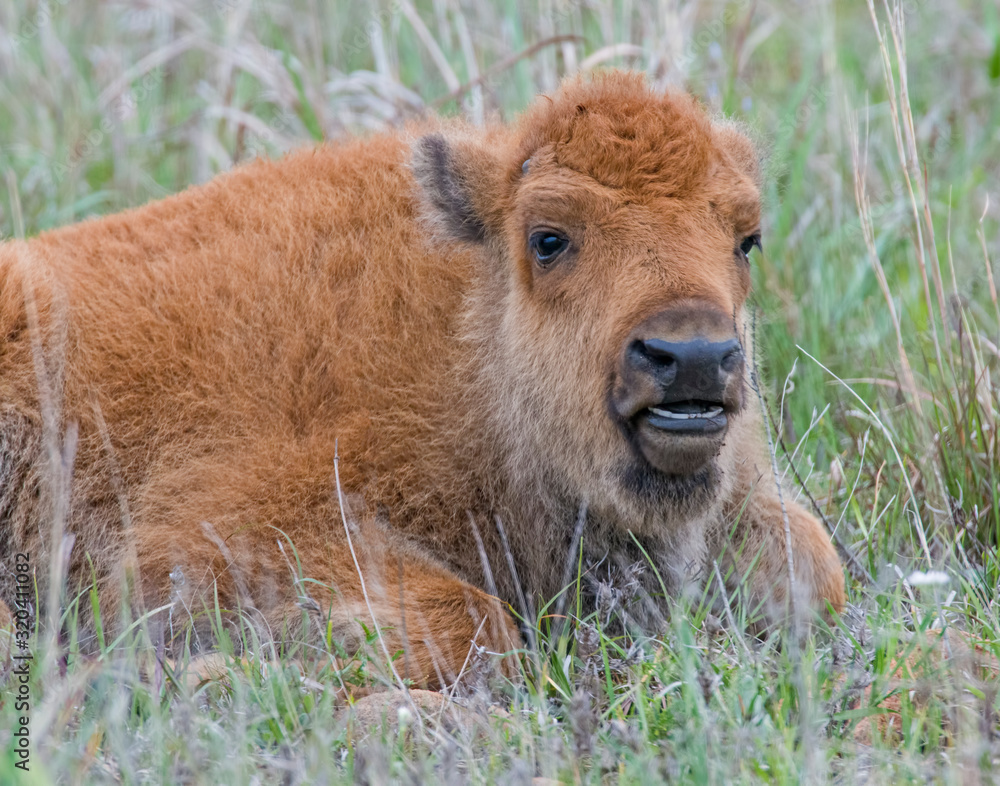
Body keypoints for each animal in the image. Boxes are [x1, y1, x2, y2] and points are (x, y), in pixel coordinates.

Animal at [0, 71, 844, 687]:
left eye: (746, 238)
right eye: (548, 238)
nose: (692, 355)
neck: (468, 344)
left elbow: (816, 568)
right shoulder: (214, 537)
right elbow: (473, 623)